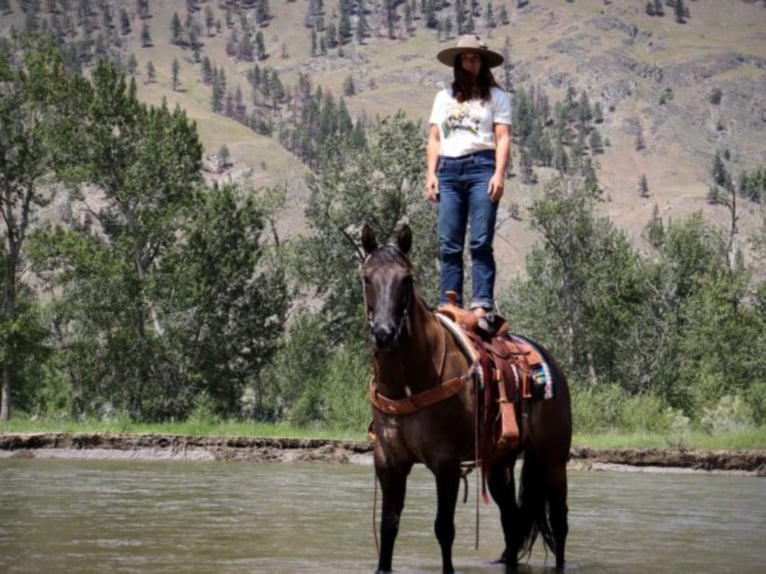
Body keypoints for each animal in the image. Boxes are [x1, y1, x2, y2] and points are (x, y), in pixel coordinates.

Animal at [364, 225, 572, 574]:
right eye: (367, 277)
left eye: (406, 278)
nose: (384, 333)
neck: (409, 383)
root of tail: (549, 361)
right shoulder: (388, 462)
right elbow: (389, 525)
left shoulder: (445, 464)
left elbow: (443, 529)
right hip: (499, 463)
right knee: (511, 520)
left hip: (552, 460)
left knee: (559, 522)